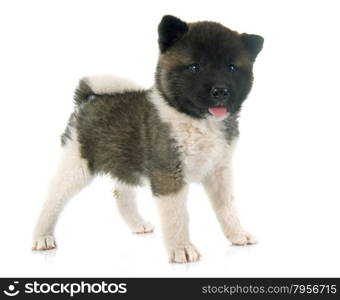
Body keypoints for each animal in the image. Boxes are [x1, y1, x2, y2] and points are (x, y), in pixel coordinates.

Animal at [31, 14, 264, 262]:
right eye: (195, 67)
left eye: (231, 68)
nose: (220, 91)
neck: (199, 122)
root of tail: (88, 97)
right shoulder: (169, 174)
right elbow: (177, 215)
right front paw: (181, 248)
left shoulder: (219, 171)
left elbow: (227, 207)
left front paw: (237, 234)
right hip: (77, 162)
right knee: (54, 198)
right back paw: (42, 236)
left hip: (122, 162)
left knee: (120, 193)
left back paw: (137, 224)